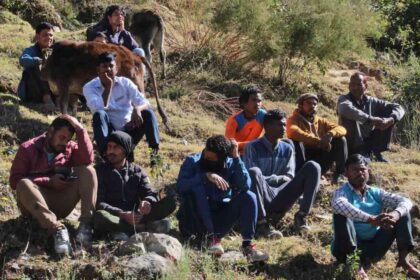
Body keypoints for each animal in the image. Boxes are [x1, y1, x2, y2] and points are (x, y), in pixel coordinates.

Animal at [40, 39, 170, 130]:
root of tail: (135, 56)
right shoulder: (73, 91)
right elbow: (74, 108)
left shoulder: (63, 86)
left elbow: (64, 107)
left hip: (137, 85)